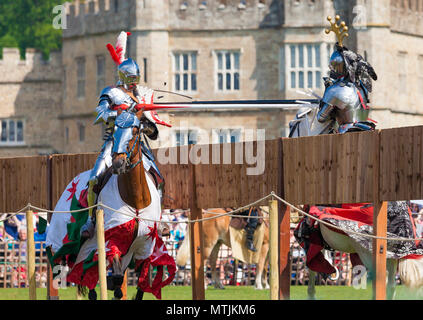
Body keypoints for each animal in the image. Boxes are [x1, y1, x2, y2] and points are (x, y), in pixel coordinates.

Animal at [47, 109, 176, 300]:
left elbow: (141, 283)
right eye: (114, 132)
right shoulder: (112, 241)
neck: (135, 201)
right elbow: (116, 278)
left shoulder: (145, 246)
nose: (118, 163)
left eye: (135, 131)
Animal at [290, 105, 423, 300]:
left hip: (369, 252)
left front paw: (312, 294)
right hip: (391, 255)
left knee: (379, 282)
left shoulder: (312, 237)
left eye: (293, 126)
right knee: (390, 285)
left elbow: (312, 268)